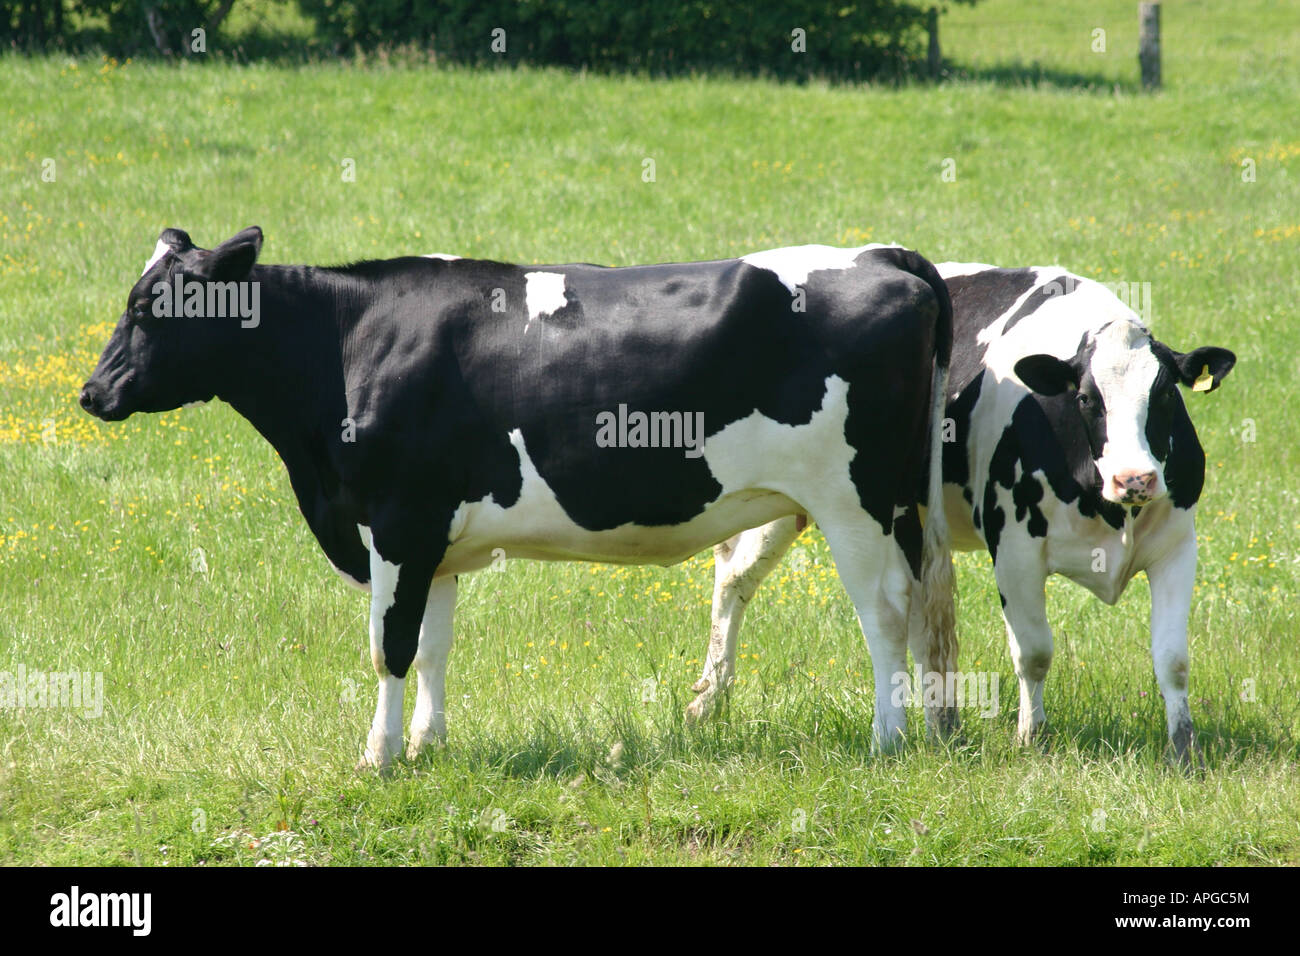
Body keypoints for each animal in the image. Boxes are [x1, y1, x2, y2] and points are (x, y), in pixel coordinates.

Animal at [80, 227, 959, 770]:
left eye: (149, 308)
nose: (92, 392)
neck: (347, 344)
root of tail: (881, 255)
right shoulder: (434, 542)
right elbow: (432, 647)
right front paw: (427, 746)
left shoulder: (396, 522)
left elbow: (388, 647)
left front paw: (378, 757)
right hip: (898, 508)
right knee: (922, 610)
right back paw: (928, 728)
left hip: (853, 501)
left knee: (885, 613)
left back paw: (886, 740)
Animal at [686, 262, 1235, 766]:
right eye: (1085, 398)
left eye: (1165, 394)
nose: (1134, 479)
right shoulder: (1014, 551)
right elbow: (1034, 652)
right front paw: (1030, 738)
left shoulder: (1177, 546)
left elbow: (1173, 659)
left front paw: (1184, 750)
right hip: (791, 498)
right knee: (735, 579)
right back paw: (710, 697)